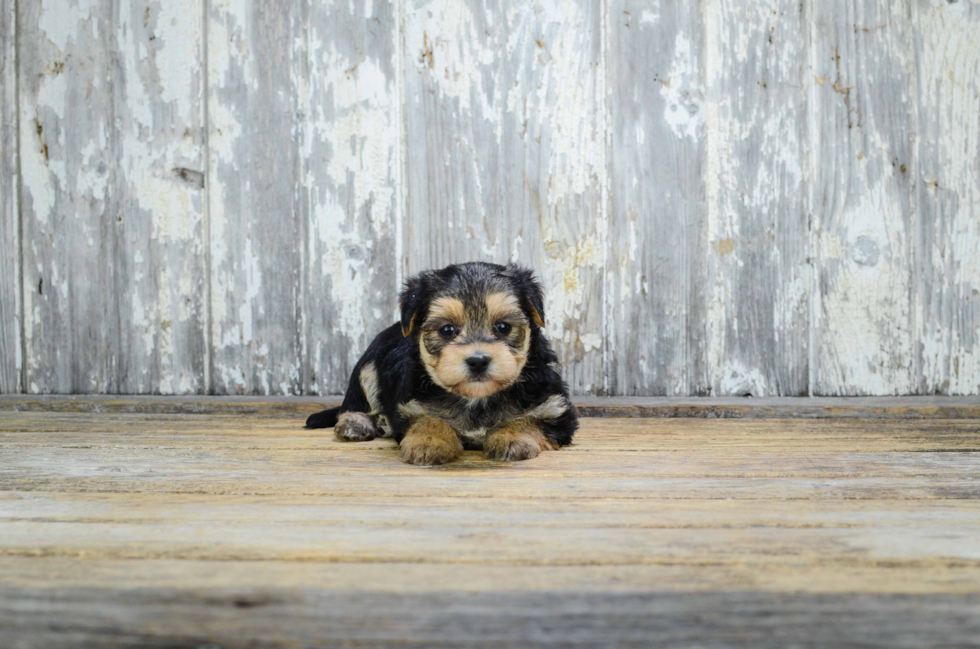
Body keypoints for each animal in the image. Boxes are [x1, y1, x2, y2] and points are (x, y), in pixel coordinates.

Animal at [306, 260, 580, 464]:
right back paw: (357, 423)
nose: (478, 361)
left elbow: (531, 420)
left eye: (503, 327)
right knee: (355, 401)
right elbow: (426, 418)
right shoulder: (411, 404)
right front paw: (430, 441)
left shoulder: (555, 407)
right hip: (369, 363)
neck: (476, 400)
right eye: (447, 330)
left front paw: (512, 437)